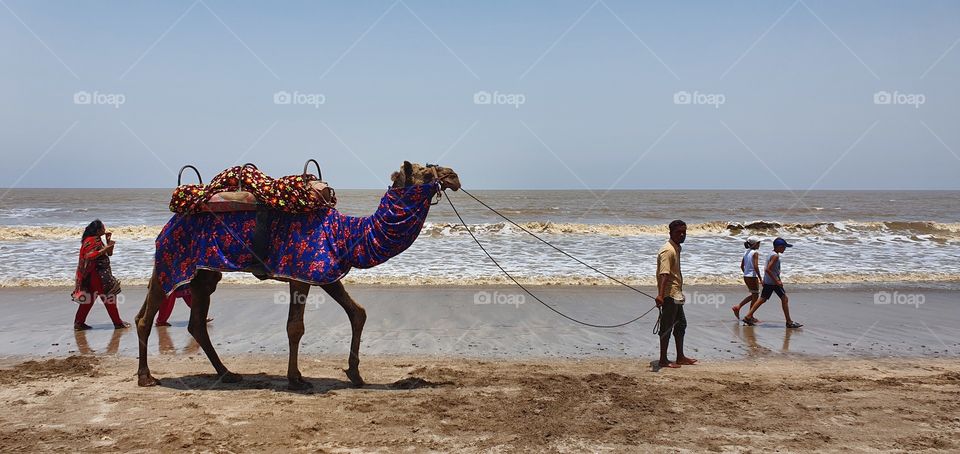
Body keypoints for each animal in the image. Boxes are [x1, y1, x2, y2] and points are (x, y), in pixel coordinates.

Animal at [135, 161, 462, 388]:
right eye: (426, 172)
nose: (453, 176)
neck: (346, 234)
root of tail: (171, 220)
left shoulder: (326, 272)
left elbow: (357, 312)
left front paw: (355, 374)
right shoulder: (300, 272)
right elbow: (295, 327)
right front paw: (297, 379)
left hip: (203, 273)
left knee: (196, 322)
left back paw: (228, 373)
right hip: (173, 260)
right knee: (146, 317)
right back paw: (146, 377)